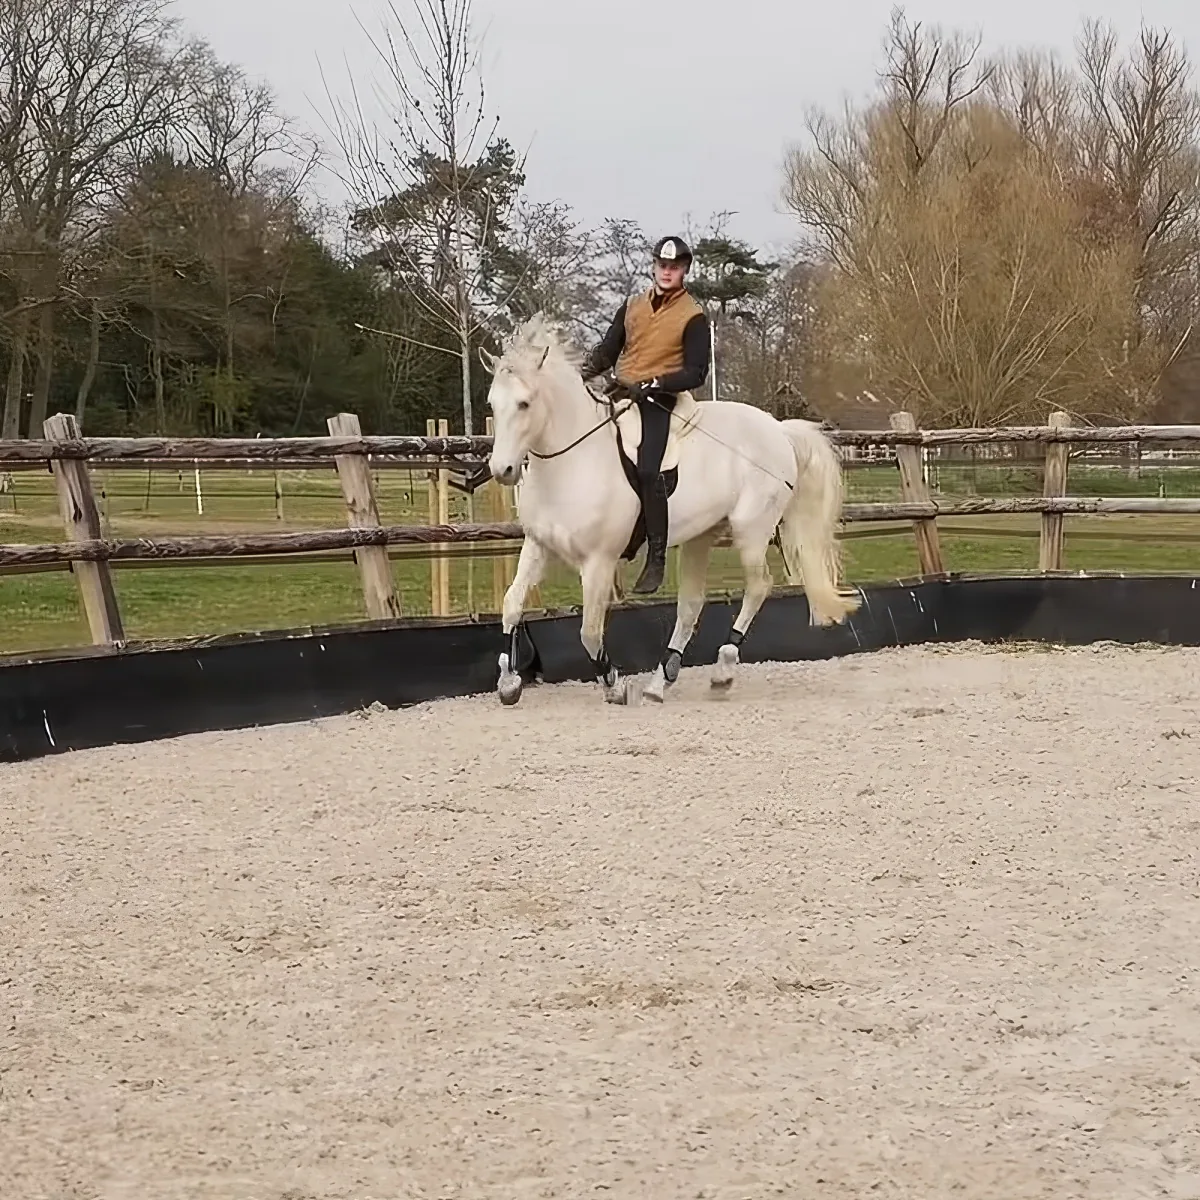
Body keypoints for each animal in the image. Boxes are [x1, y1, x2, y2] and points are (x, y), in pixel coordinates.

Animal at [480, 313, 860, 706]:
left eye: (525, 403)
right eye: (493, 404)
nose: (502, 470)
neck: (571, 461)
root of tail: (779, 430)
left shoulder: (599, 562)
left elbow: (589, 631)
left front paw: (615, 685)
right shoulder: (538, 546)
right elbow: (512, 604)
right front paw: (508, 681)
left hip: (751, 529)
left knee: (758, 587)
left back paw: (722, 671)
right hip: (701, 535)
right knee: (691, 604)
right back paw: (661, 680)